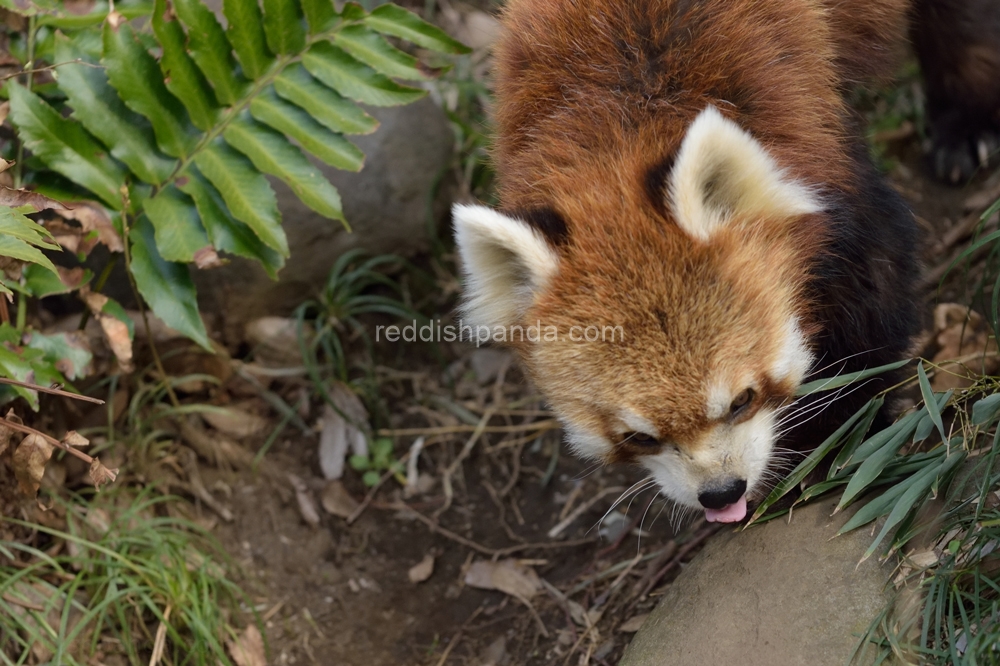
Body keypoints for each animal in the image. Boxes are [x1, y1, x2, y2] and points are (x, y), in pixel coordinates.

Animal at [454, 1, 928, 524]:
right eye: (640, 437)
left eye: (742, 400)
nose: (720, 492)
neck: (623, 122)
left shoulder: (822, 149)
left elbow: (869, 310)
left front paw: (841, 436)